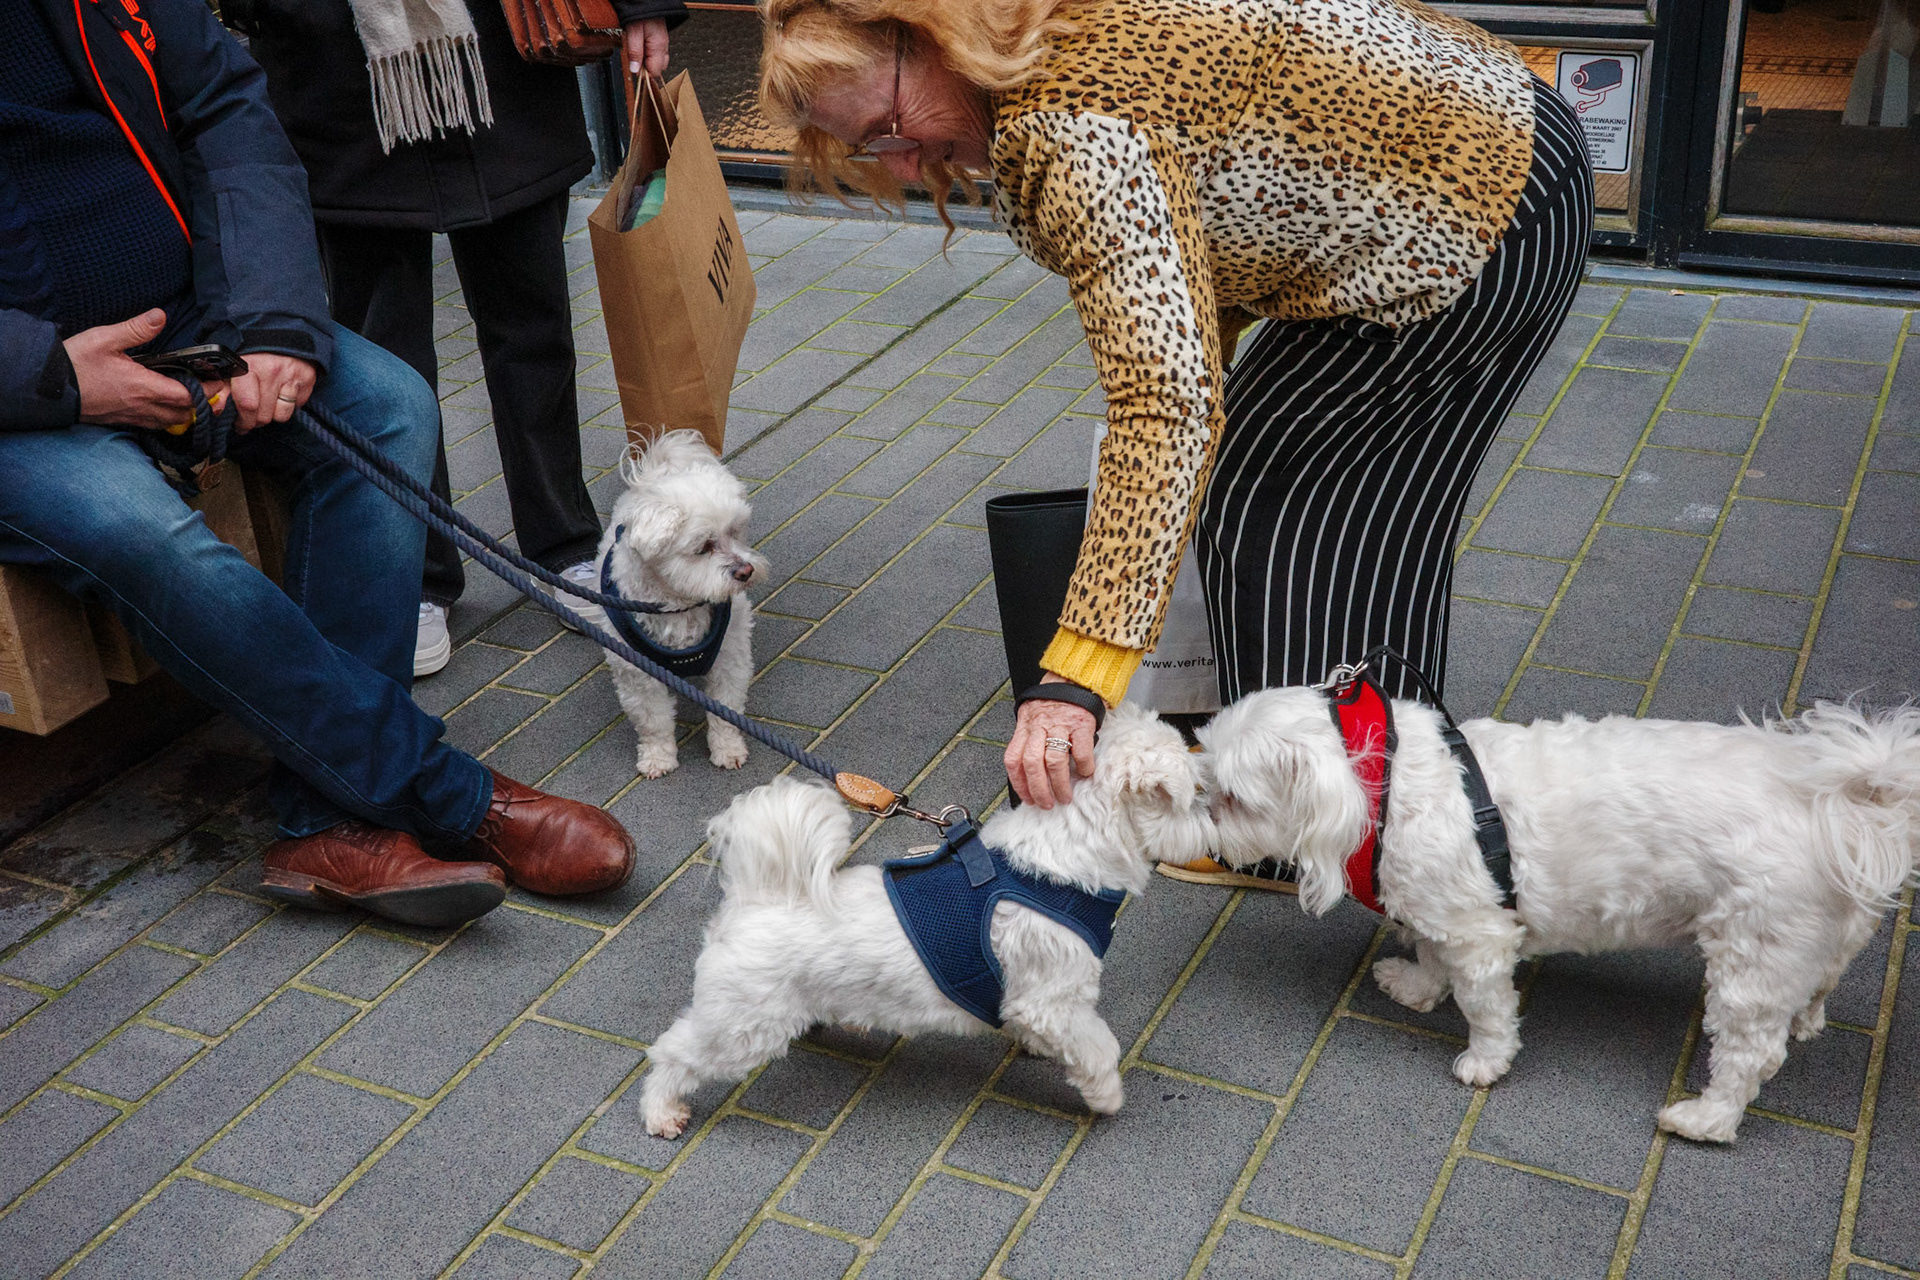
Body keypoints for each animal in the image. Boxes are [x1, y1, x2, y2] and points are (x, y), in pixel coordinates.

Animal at [595, 430, 768, 779]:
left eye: (735, 533)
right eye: (703, 547)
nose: (746, 571)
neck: (679, 605)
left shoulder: (729, 659)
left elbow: (725, 709)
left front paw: (727, 749)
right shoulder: (638, 674)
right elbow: (654, 720)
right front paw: (658, 757)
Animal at [637, 704, 1218, 1138]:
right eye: (1196, 794)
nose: (1218, 822)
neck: (1058, 869)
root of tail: (755, 899)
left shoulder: (1034, 999)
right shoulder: (1054, 1000)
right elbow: (1098, 1048)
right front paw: (1106, 1096)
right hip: (743, 1026)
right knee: (673, 1053)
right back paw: (662, 1112)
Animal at [1202, 690, 1920, 1143]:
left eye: (1233, 797)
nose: (1202, 814)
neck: (1384, 786)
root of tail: (1840, 803)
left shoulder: (1481, 934)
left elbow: (1486, 1006)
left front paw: (1485, 1061)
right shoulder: (1443, 910)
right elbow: (1431, 956)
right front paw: (1416, 986)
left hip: (1752, 947)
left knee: (1750, 1051)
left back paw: (1706, 1120)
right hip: (1808, 935)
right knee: (1816, 982)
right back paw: (1806, 1017)